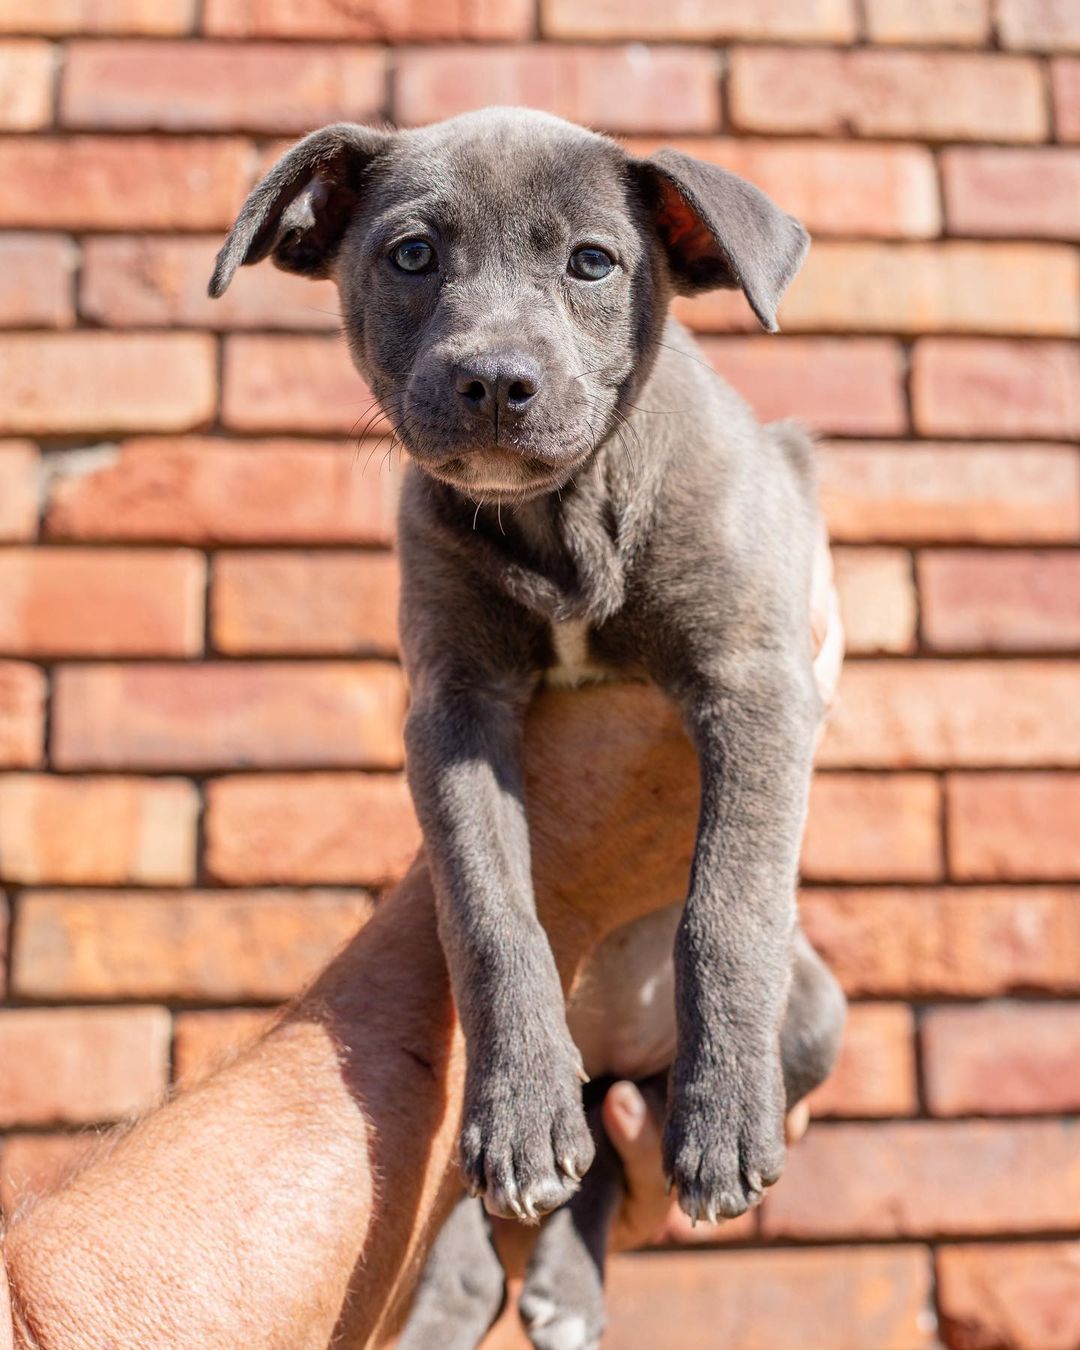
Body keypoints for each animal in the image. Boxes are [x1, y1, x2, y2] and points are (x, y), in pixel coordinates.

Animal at [210, 108, 847, 1350]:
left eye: (593, 263)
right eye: (412, 255)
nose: (495, 382)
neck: (562, 517)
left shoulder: (758, 680)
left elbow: (730, 901)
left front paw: (724, 1122)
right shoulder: (452, 713)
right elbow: (489, 911)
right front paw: (514, 1124)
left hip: (818, 1014)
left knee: (620, 1140)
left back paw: (571, 1269)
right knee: (529, 1144)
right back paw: (480, 1251)